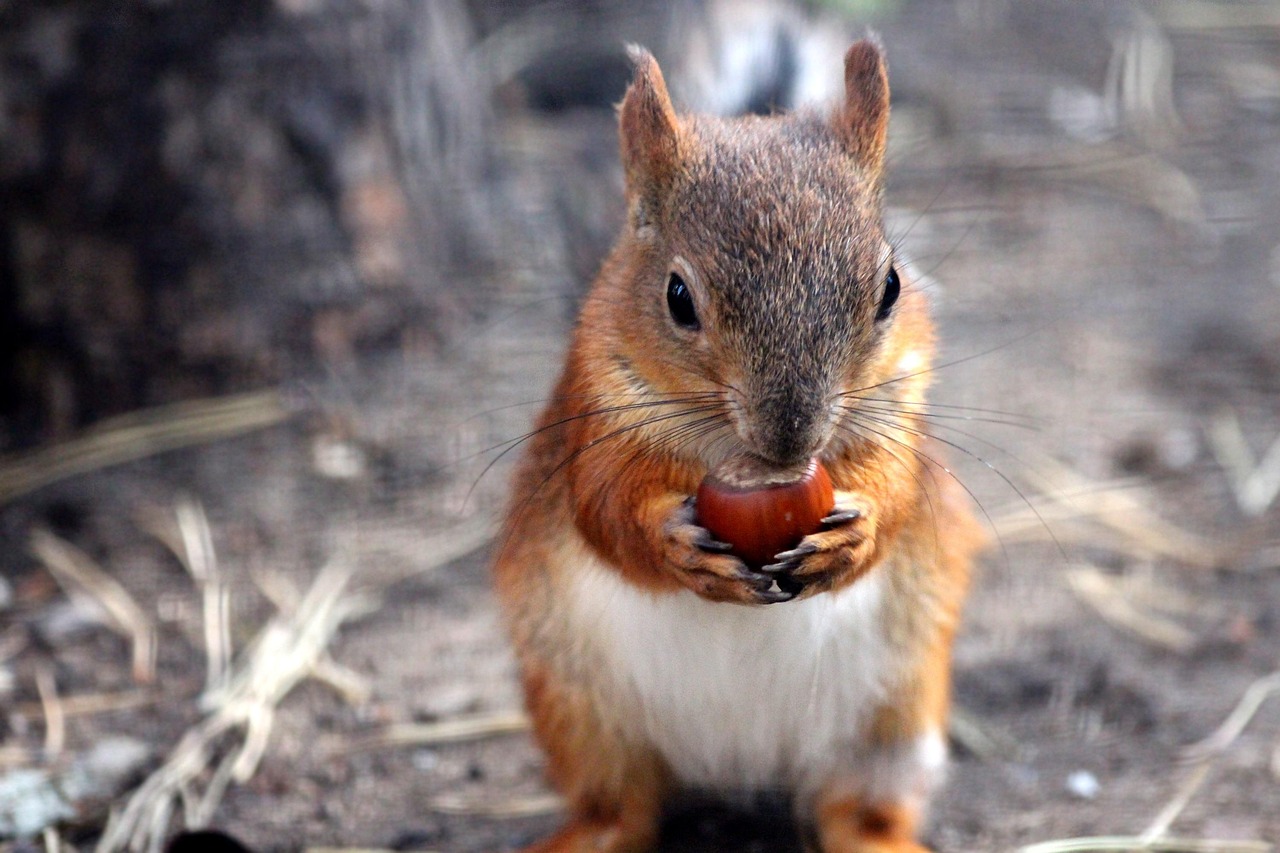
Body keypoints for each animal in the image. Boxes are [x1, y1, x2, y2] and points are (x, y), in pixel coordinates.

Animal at [492, 38, 984, 853]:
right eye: (677, 298)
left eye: (889, 285)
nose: (790, 440)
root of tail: (740, 764)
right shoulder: (594, 422)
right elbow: (604, 510)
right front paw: (673, 545)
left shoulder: (902, 416)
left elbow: (896, 491)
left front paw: (854, 536)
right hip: (578, 707)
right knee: (618, 806)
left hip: (894, 720)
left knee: (855, 809)